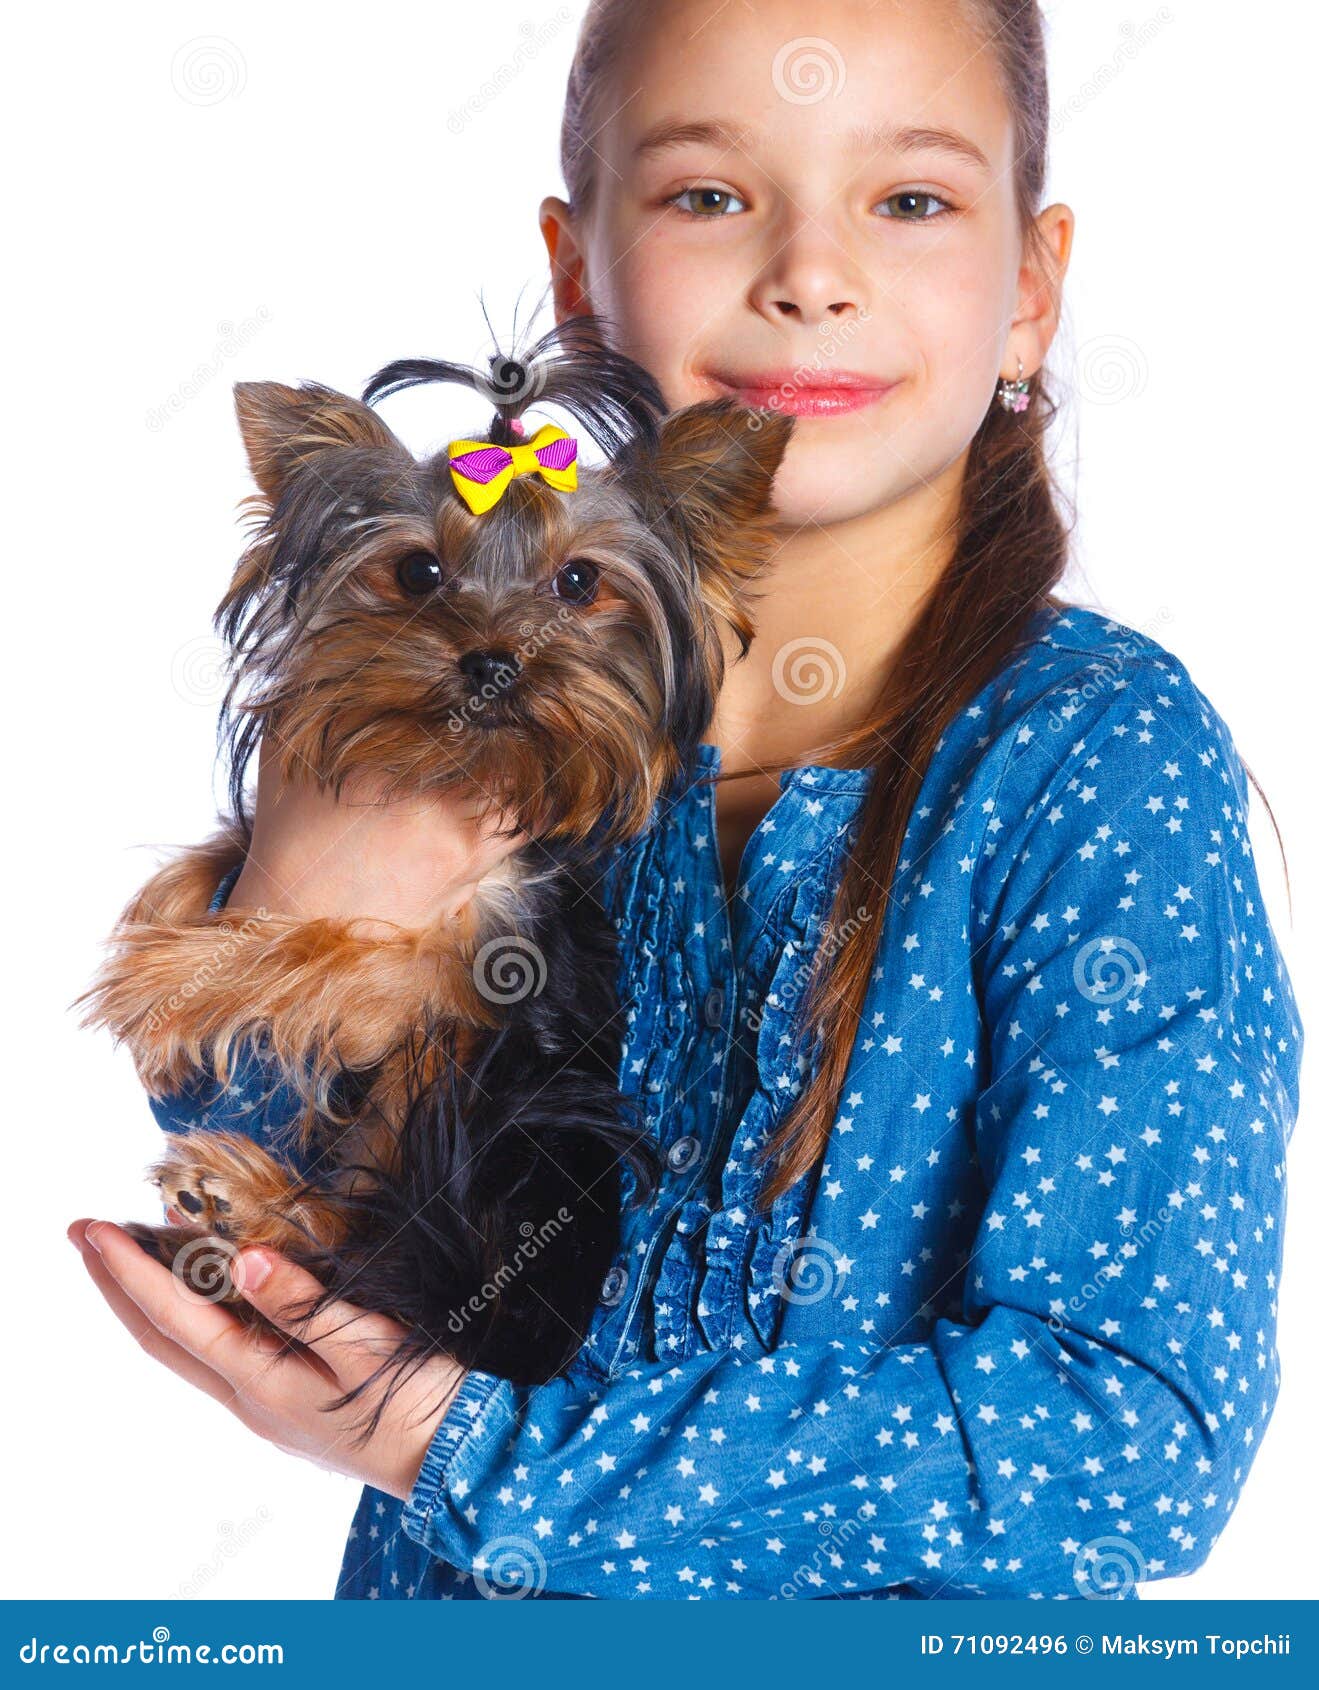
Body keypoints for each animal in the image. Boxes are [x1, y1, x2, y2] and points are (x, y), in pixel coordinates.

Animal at [77, 314, 794, 1426]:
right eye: (417, 574)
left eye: (579, 582)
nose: (494, 662)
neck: (461, 775)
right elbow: (217, 862)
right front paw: (168, 944)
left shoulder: (482, 975)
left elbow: (347, 950)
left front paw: (172, 978)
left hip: (490, 1136)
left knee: (392, 1249)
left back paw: (247, 1201)